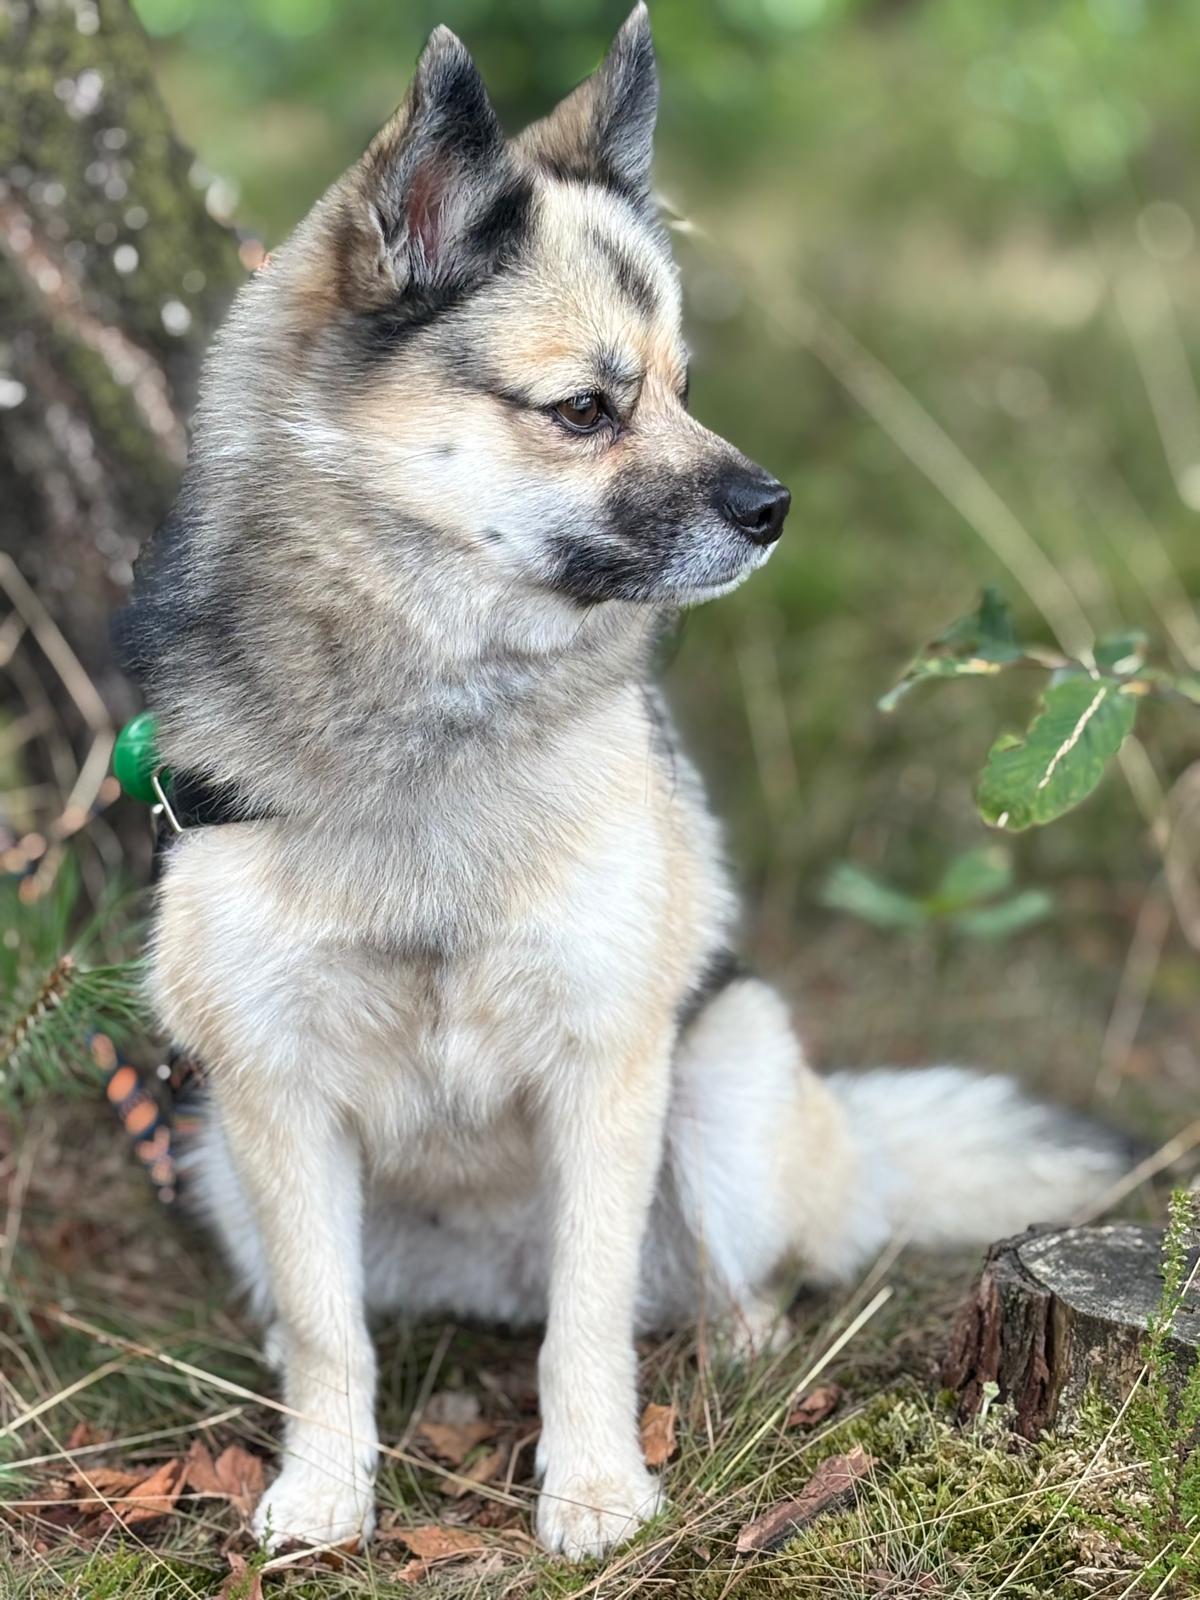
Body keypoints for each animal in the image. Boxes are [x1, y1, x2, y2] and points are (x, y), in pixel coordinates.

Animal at [118, 4, 1128, 1561]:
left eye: (686, 389)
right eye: (587, 407)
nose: (774, 508)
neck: (439, 720)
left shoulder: (606, 1067)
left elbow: (586, 1322)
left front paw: (595, 1488)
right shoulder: (274, 1088)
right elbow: (335, 1331)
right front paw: (324, 1489)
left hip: (721, 1081)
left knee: (719, 1277)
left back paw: (745, 1353)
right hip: (217, 1154)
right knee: (328, 1309)